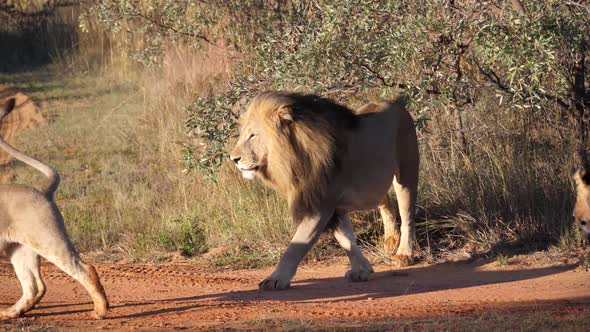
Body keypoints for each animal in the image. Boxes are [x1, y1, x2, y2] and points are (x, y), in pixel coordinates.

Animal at [0, 98, 108, 320]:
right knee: (35, 287)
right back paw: (10, 313)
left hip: (49, 239)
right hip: (19, 248)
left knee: (86, 269)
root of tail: (43, 189)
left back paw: (100, 311)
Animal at [230, 91, 420, 290]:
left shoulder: (320, 206)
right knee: (386, 203)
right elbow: (346, 239)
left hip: (407, 172)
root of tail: (396, 102)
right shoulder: (334, 208)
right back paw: (391, 240)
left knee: (407, 216)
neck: (294, 159)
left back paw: (404, 254)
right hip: (376, 184)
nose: (233, 159)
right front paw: (361, 270)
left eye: (253, 135)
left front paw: (276, 279)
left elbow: (296, 246)